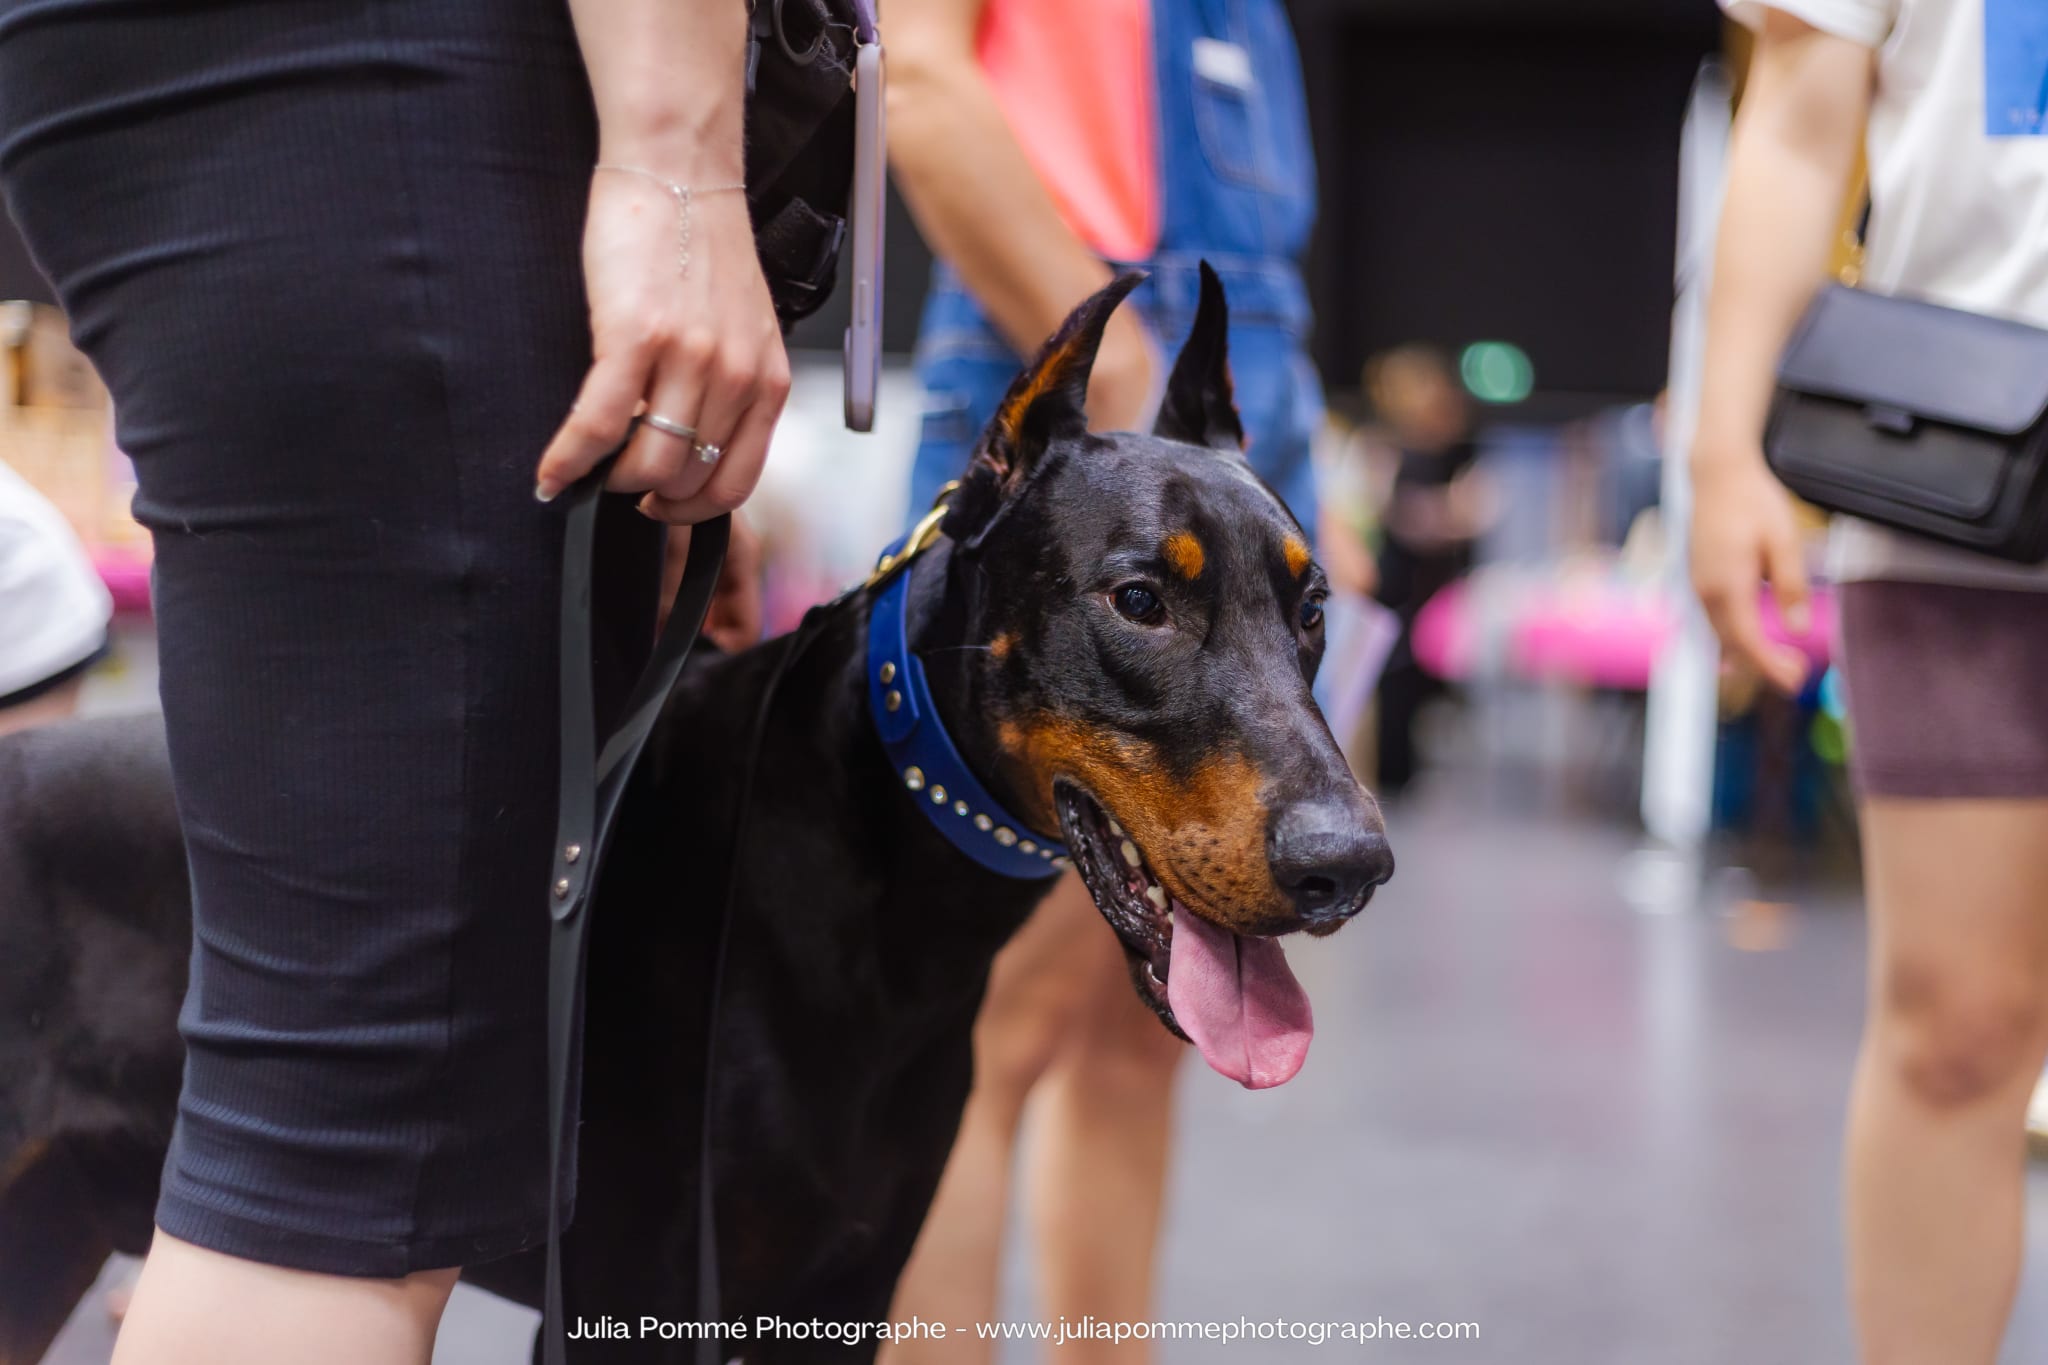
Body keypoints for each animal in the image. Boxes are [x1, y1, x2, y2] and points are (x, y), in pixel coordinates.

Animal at [0, 270, 1392, 1365]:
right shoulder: (634, 1302)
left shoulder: (843, 1295)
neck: (887, 864)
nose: (1351, 865)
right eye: (1139, 599)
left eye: (1313, 608)